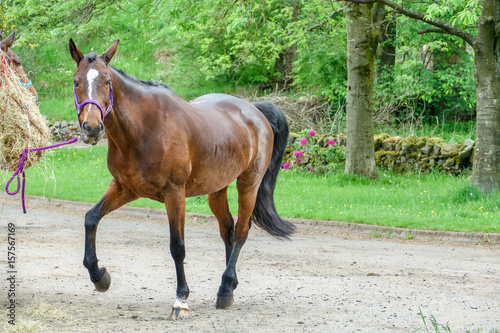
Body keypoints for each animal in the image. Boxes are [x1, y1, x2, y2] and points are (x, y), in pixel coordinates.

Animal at [70, 37, 296, 318]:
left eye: (107, 82)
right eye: (76, 82)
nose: (91, 128)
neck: (143, 129)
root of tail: (254, 109)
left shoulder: (174, 193)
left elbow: (177, 246)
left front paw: (181, 299)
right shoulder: (125, 187)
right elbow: (91, 218)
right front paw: (99, 275)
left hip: (249, 185)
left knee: (242, 231)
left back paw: (225, 287)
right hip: (216, 189)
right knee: (228, 230)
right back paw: (229, 286)